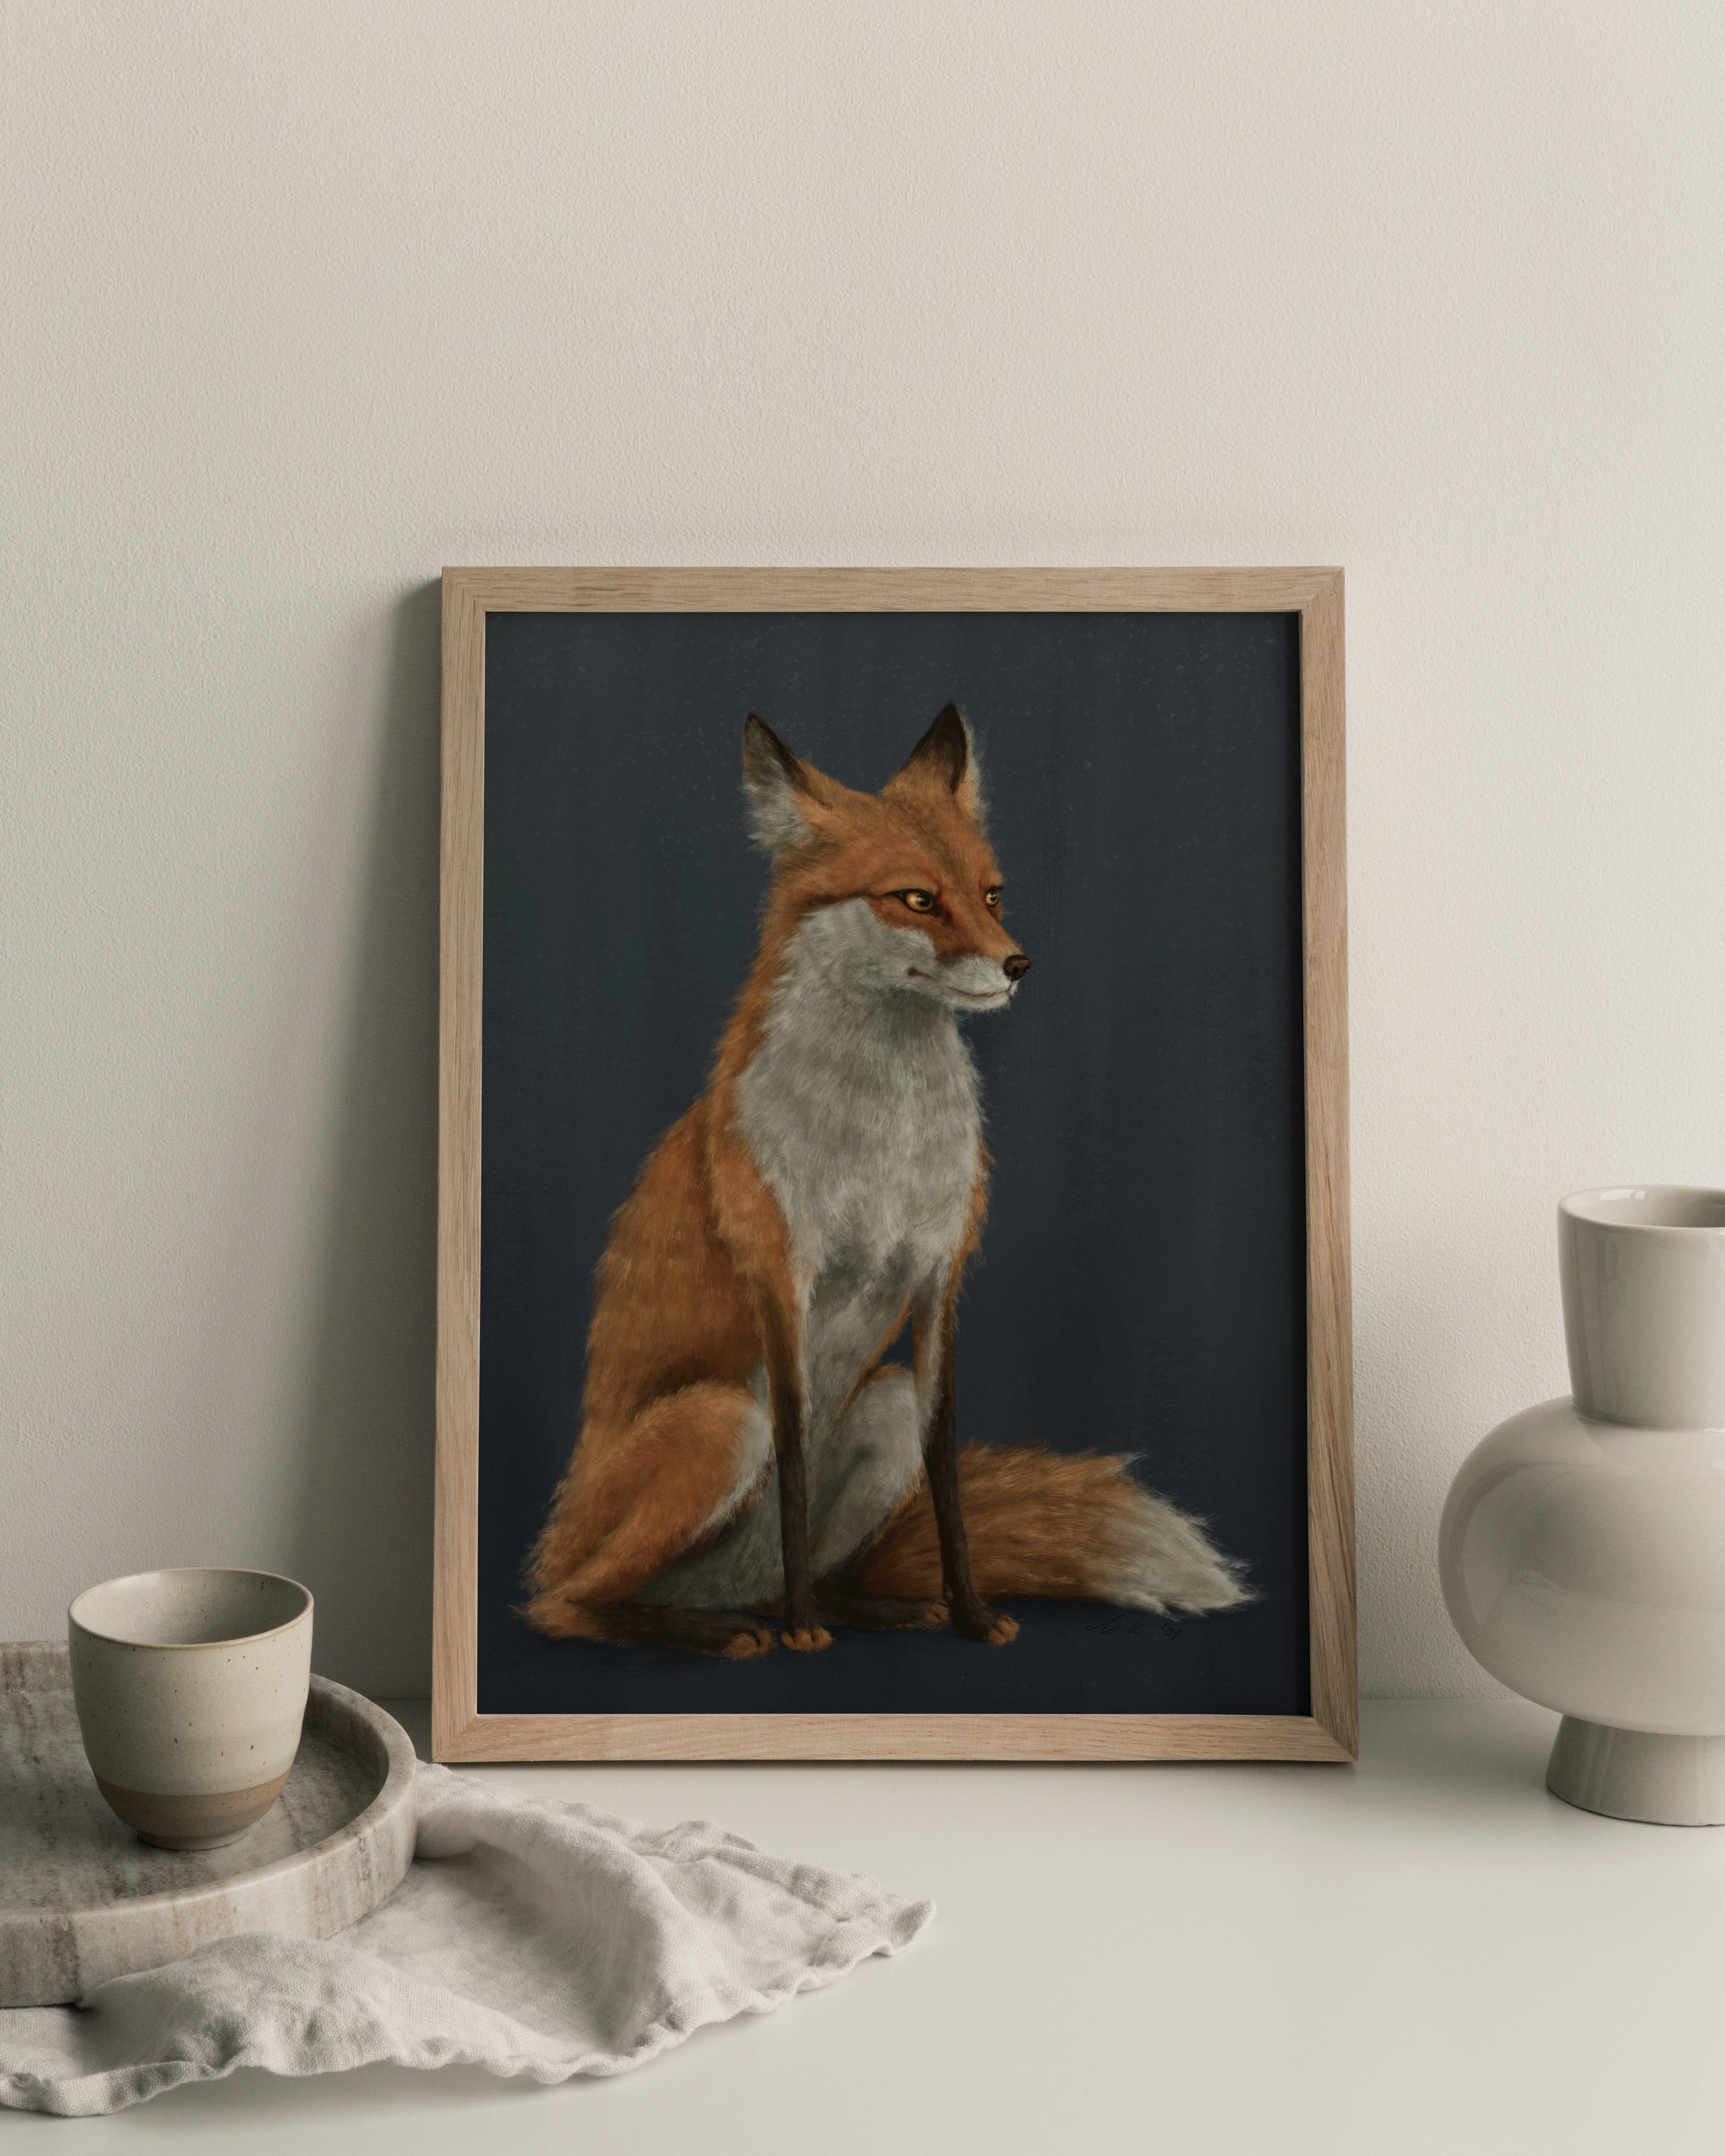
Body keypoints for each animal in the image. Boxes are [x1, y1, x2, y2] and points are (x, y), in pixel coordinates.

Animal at [523, 702, 1249, 1658]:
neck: (884, 1143)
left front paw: (969, 1614)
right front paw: (804, 1633)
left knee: (778, 1573)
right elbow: (794, 1461)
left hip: (882, 1404)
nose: (1018, 965)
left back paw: (859, 1607)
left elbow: (946, 1474)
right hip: (720, 1421)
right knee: (564, 1604)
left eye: (991, 894)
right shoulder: (781, 1280)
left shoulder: (939, 1279)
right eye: (916, 899)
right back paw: (723, 1628)